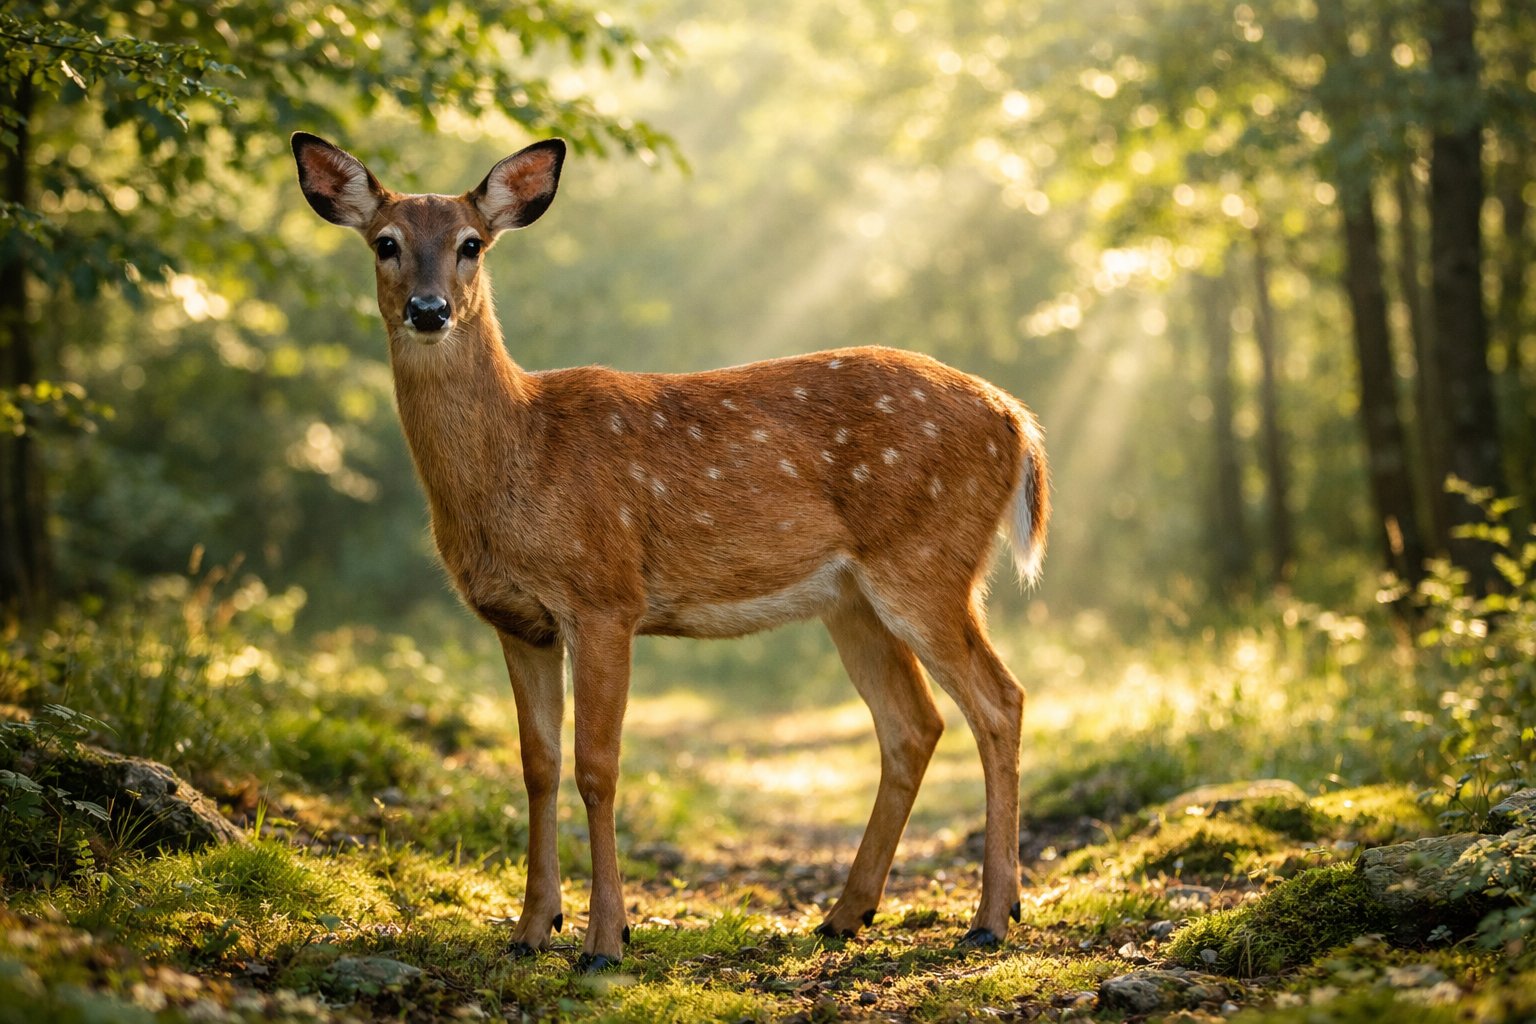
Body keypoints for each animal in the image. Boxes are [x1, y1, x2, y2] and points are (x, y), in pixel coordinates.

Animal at [291, 131, 1050, 971]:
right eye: (385, 243)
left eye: (470, 245)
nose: (430, 310)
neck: (518, 454)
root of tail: (1017, 421)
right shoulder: (517, 621)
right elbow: (537, 766)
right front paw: (530, 929)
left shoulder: (604, 595)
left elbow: (597, 766)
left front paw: (604, 941)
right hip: (852, 599)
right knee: (914, 725)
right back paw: (845, 915)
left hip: (927, 563)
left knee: (1000, 700)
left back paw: (991, 915)